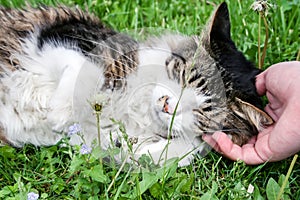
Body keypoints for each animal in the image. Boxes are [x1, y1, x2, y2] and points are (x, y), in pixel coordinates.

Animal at [0, 2, 272, 166]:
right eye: (184, 77)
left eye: (204, 111)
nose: (166, 105)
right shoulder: (63, 33)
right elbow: (83, 67)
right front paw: (60, 111)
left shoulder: (91, 138)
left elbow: (188, 148)